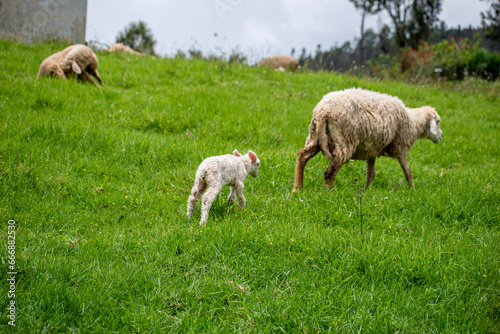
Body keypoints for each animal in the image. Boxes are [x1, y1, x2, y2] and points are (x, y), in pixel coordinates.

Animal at [292, 87, 442, 192]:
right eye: (438, 121)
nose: (440, 137)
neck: (413, 122)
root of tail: (323, 111)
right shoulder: (400, 148)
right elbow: (408, 172)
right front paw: (413, 190)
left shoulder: (371, 151)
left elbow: (371, 174)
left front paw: (365, 192)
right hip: (344, 140)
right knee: (329, 172)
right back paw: (328, 193)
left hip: (316, 136)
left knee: (302, 155)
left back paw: (297, 189)